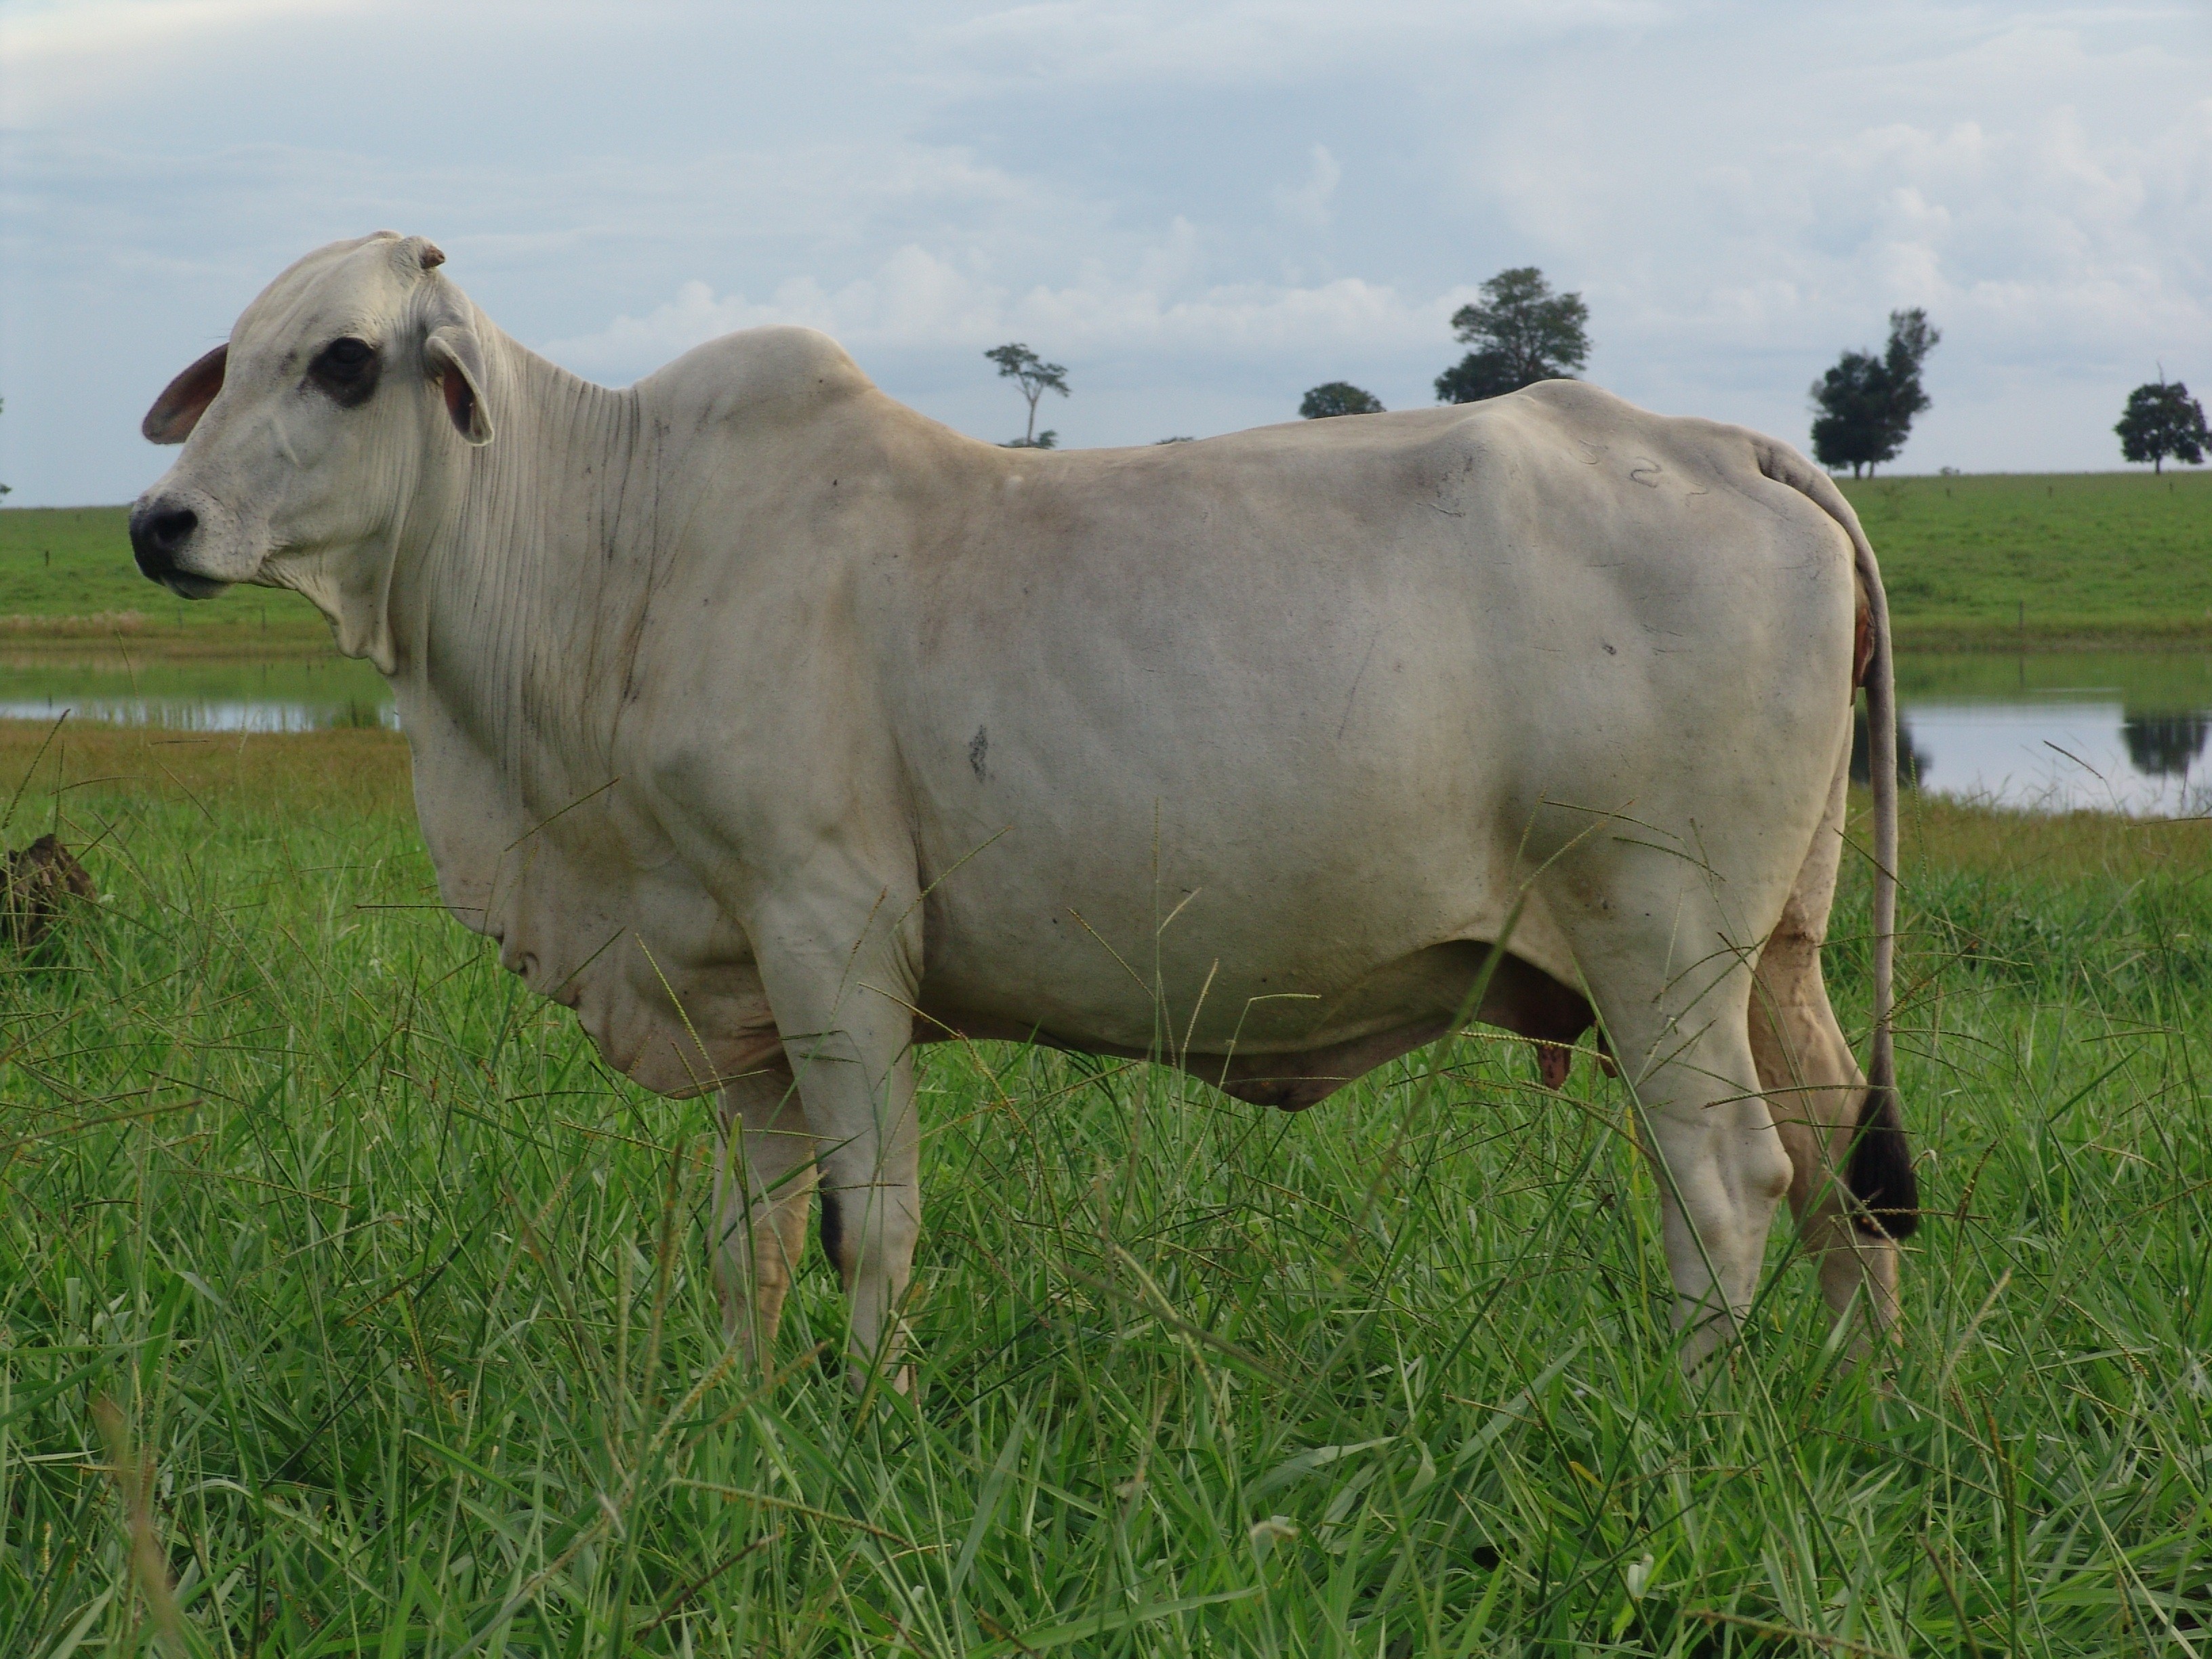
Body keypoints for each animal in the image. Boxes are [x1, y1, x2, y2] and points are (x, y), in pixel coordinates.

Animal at [129, 234, 1920, 1389]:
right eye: (234, 359)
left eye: (345, 360)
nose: (157, 522)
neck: (612, 545)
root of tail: (1738, 445)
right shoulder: (737, 980)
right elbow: (747, 1237)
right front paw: (732, 1418)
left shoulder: (832, 933)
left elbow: (868, 1222)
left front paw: (863, 1417)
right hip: (1779, 950)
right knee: (1843, 1165)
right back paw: (1863, 1407)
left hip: (1658, 940)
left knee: (1729, 1182)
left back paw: (1688, 1421)